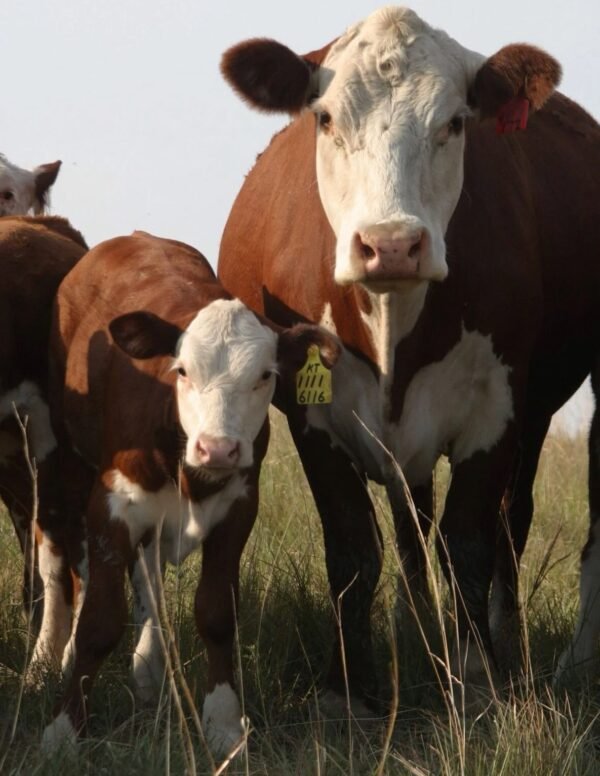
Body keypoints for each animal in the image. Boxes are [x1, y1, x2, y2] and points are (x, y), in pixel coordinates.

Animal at [41, 231, 339, 756]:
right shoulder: (111, 507)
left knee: (150, 581)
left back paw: (149, 670)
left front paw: (223, 723)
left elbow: (216, 612)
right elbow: (100, 619)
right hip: (71, 461)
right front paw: (64, 728)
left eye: (265, 375)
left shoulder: (238, 506)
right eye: (181, 371)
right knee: (84, 568)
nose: (217, 448)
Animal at [218, 5, 600, 710]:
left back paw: (506, 643)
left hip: (535, 415)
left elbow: (470, 542)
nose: (391, 245)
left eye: (455, 122)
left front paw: (476, 674)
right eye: (325, 118)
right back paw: (415, 621)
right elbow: (352, 549)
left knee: (509, 523)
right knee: (410, 524)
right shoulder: (312, 419)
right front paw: (349, 687)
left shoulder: (496, 409)